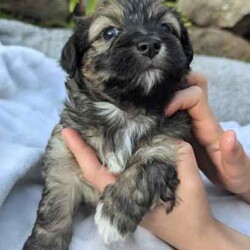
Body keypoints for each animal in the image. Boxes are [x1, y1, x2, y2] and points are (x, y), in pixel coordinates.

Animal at [22, 0, 193, 249]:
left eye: (166, 27)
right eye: (109, 33)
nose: (150, 44)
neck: (125, 110)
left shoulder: (169, 140)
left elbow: (145, 165)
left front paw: (113, 216)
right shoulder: (62, 154)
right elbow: (54, 206)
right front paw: (44, 243)